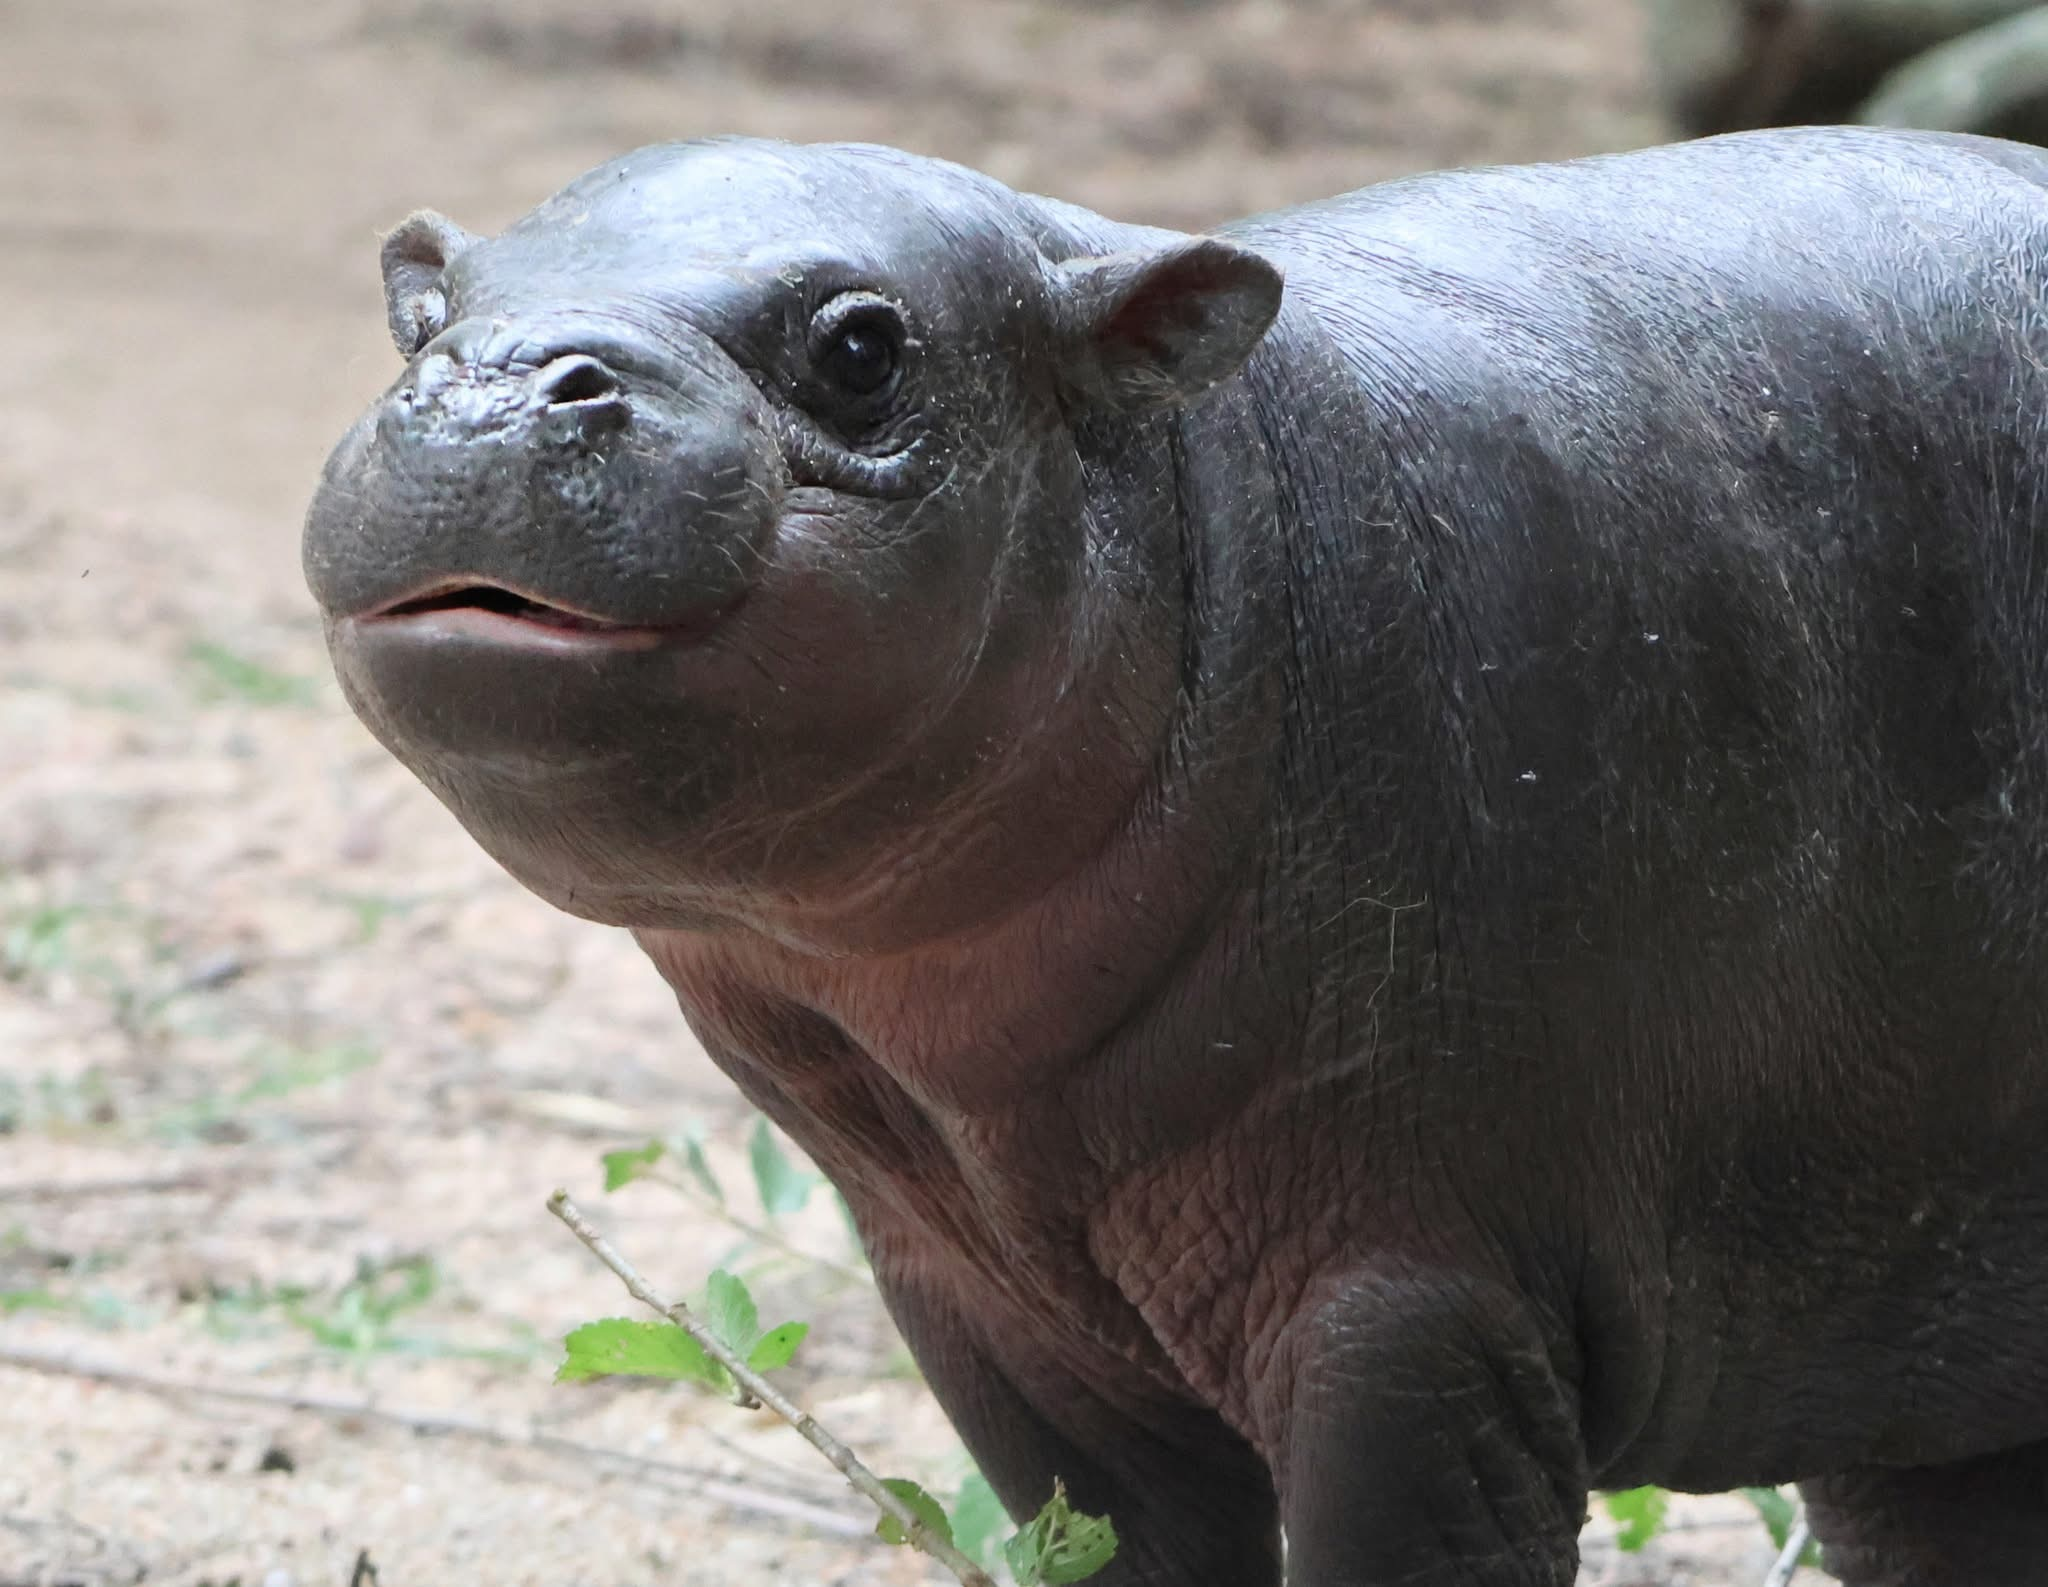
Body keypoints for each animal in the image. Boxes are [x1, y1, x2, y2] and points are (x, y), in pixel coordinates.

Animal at [305, 126, 2048, 1585]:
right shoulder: (992, 1312)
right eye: (424, 315)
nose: (491, 385)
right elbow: (1115, 1541)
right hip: (1920, 1372)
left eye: (863, 347)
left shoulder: (1406, 1294)